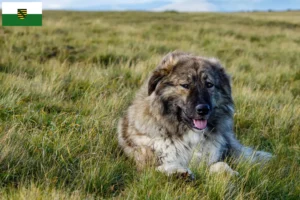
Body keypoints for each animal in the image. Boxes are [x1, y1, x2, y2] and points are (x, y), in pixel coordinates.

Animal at [117, 51, 272, 178]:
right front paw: (178, 172)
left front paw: (228, 173)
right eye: (185, 85)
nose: (203, 110)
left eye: (209, 84)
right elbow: (163, 166)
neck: (190, 136)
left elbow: (220, 165)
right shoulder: (147, 162)